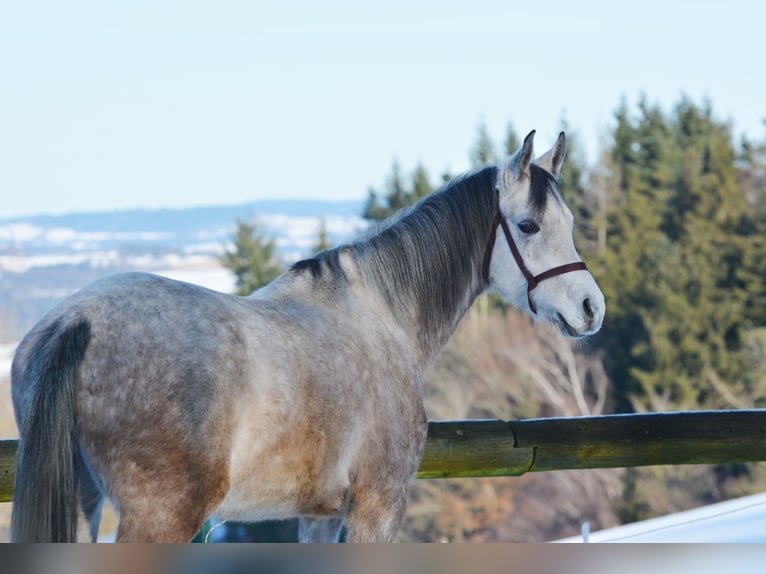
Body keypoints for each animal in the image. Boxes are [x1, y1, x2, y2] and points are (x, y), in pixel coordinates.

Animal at [10, 130, 604, 542]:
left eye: (572, 222)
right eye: (527, 225)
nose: (589, 307)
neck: (384, 314)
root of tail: (74, 323)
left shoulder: (319, 514)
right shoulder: (377, 505)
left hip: (83, 504)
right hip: (160, 518)